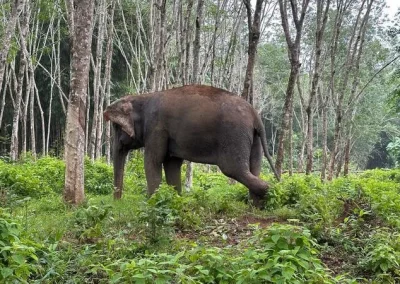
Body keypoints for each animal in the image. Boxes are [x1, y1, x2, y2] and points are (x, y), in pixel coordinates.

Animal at [103, 85, 278, 209]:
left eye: (116, 127)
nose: (117, 203)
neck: (142, 97)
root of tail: (255, 115)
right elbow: (172, 164)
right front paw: (175, 200)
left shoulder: (156, 128)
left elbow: (153, 161)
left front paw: (151, 203)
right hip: (254, 138)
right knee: (254, 168)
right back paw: (257, 206)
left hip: (234, 135)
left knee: (233, 169)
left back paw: (271, 192)